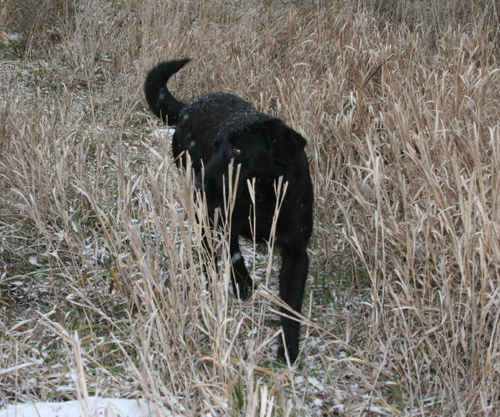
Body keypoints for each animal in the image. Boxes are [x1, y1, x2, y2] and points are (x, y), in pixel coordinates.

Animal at [143, 58, 312, 360]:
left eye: (237, 151)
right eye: (216, 146)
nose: (200, 182)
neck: (264, 197)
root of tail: (188, 107)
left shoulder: (296, 252)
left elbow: (291, 307)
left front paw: (289, 350)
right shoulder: (220, 217)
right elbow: (234, 255)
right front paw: (242, 285)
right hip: (205, 213)